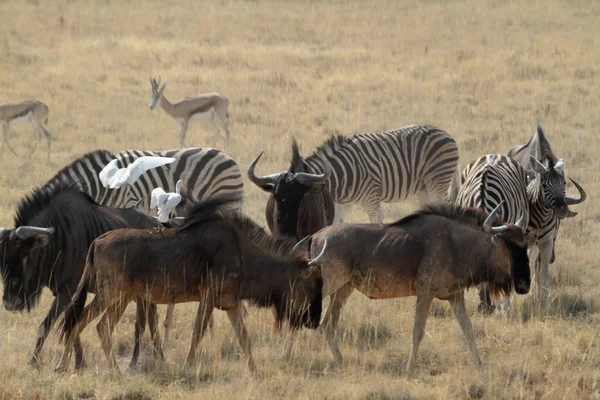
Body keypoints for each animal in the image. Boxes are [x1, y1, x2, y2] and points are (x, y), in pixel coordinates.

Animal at [251, 124, 462, 223]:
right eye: (275, 198)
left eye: (301, 199)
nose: (281, 221)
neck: (338, 179)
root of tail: (446, 133)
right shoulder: (340, 205)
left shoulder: (372, 198)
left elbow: (375, 223)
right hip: (423, 188)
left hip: (438, 180)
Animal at [458, 153, 584, 316]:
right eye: (544, 185)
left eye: (564, 184)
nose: (485, 308)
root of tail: (494, 155)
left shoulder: (541, 241)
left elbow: (541, 272)